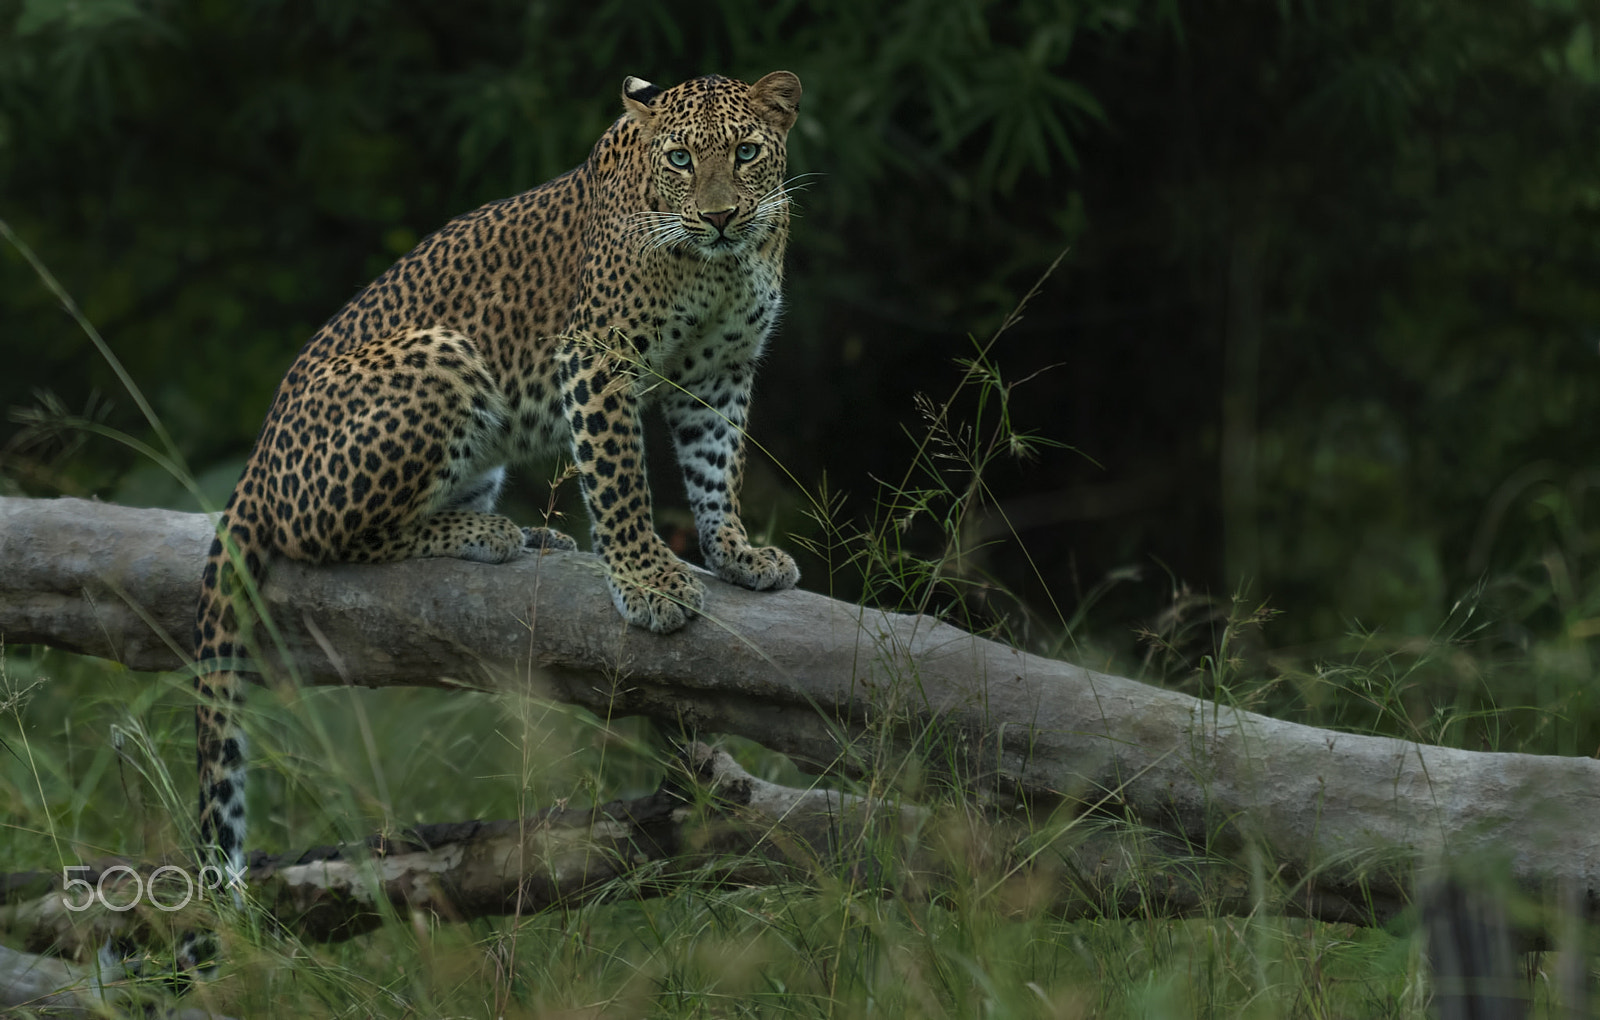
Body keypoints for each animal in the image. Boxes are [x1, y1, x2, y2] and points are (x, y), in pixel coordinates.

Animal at [189, 70, 805, 907]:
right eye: (679, 158)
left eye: (745, 152)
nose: (719, 216)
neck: (719, 266)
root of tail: (257, 456)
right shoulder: (595, 356)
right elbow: (620, 482)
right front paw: (647, 581)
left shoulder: (718, 371)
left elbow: (718, 469)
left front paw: (737, 553)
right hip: (440, 354)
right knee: (323, 539)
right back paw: (488, 536)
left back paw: (532, 534)